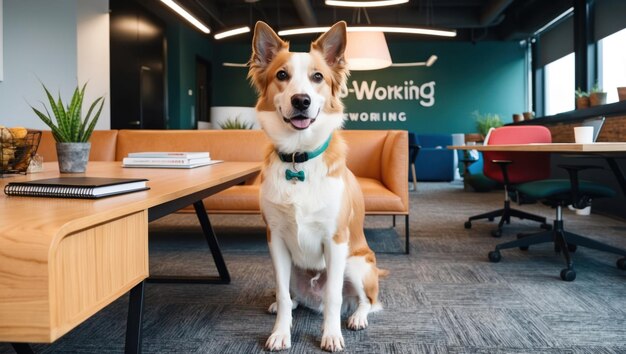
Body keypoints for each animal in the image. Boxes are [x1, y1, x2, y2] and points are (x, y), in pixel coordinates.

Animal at [247, 21, 386, 352]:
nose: (301, 100)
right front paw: (280, 332)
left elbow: (334, 297)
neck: (299, 159)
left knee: (368, 302)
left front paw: (331, 335)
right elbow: (283, 295)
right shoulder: (275, 239)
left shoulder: (335, 241)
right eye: (281, 75)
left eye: (318, 77)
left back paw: (356, 317)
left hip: (357, 264)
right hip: (294, 270)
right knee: (291, 294)